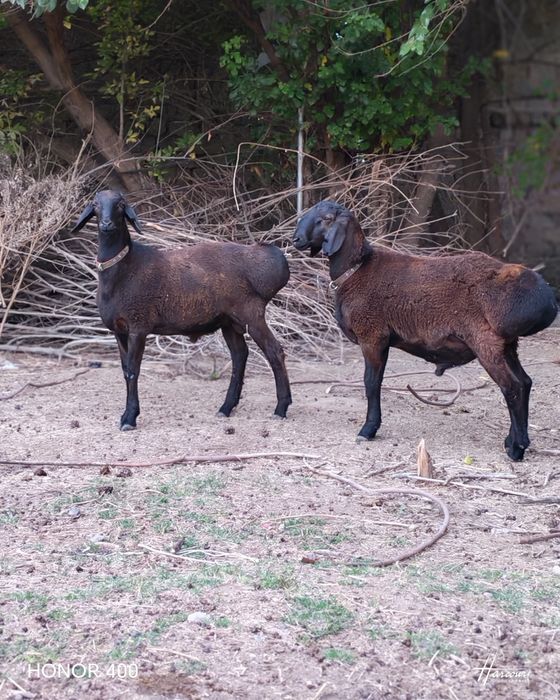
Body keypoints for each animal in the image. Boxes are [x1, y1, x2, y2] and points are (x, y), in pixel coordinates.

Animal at [72, 190, 292, 429]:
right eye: (95, 204)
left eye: (121, 205)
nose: (106, 224)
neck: (123, 268)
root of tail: (273, 259)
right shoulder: (119, 330)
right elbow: (124, 371)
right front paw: (126, 415)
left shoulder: (138, 326)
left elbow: (133, 371)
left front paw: (130, 418)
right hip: (229, 321)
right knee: (240, 356)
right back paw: (226, 408)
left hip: (251, 313)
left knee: (275, 352)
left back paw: (281, 408)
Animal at [293, 200, 558, 461]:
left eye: (326, 219)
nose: (296, 239)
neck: (355, 269)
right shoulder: (384, 340)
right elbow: (377, 382)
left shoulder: (372, 335)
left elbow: (371, 383)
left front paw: (367, 430)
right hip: (507, 344)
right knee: (525, 383)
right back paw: (515, 441)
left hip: (486, 343)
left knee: (512, 388)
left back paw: (516, 449)